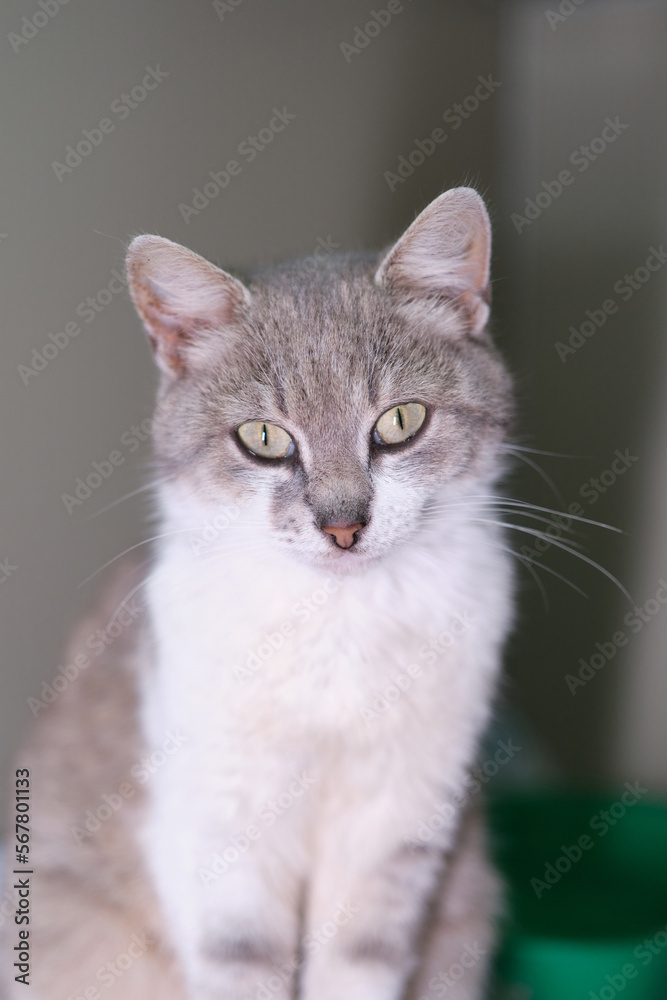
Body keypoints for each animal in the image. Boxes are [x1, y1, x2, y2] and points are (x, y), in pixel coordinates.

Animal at [1, 188, 516, 1000]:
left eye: (400, 422)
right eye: (264, 439)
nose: (343, 526)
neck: (338, 630)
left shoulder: (398, 825)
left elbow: (359, 965)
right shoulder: (220, 828)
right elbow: (239, 961)